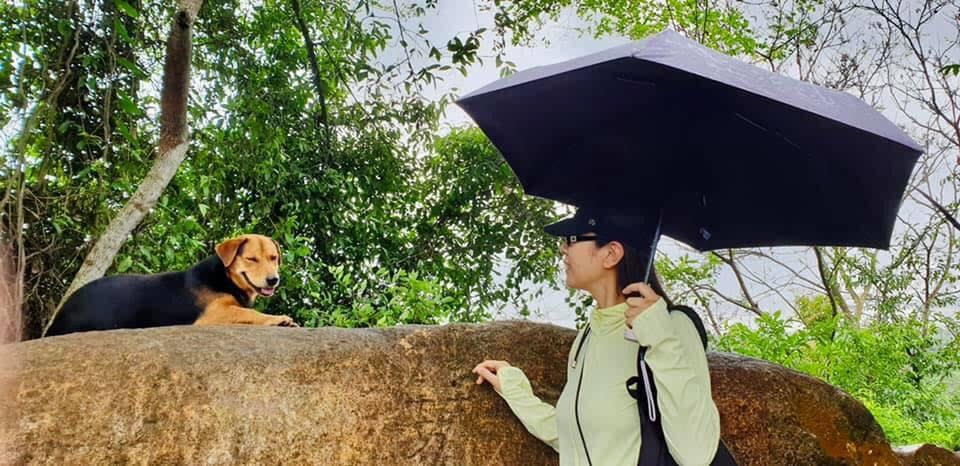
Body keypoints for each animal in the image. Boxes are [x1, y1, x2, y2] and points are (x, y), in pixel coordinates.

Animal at [44, 235, 296, 336]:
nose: (273, 280)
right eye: (252, 259)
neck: (225, 277)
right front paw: (280, 319)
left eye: (273, 258)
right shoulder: (213, 314)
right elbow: (250, 313)